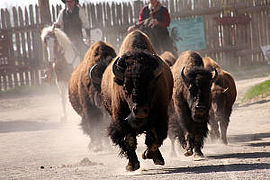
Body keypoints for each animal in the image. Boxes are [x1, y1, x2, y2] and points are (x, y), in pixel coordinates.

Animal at [100, 30, 173, 172]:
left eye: (152, 85)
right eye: (125, 87)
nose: (139, 110)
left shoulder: (160, 117)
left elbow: (155, 139)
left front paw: (149, 156)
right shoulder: (120, 120)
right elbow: (129, 140)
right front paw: (132, 165)